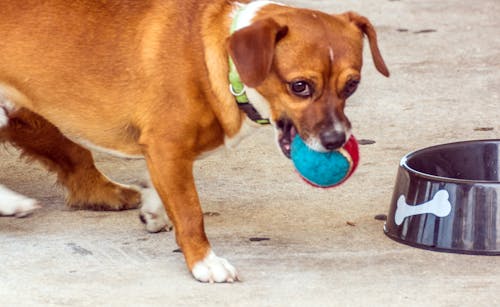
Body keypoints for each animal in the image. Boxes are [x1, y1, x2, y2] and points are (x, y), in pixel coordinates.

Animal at [0, 0, 388, 284]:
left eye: (351, 85)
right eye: (300, 86)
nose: (336, 139)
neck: (219, 61)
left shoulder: (163, 157)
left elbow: (168, 195)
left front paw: (154, 207)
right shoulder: (167, 149)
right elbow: (190, 212)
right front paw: (204, 261)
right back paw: (13, 203)